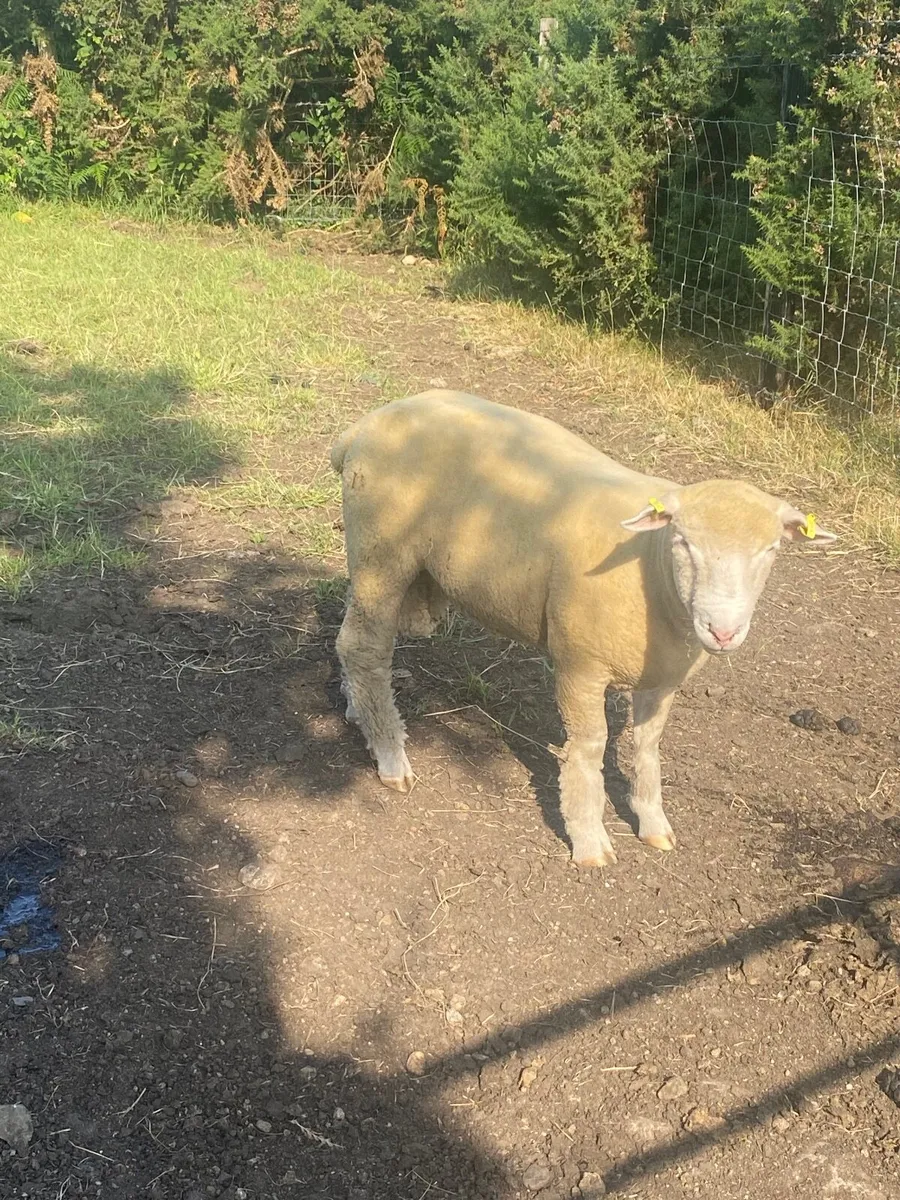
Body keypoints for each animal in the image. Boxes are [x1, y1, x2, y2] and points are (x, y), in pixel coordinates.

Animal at [330, 389, 836, 867]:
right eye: (682, 542)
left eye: (771, 550)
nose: (723, 632)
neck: (652, 569)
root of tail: (363, 426)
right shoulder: (580, 665)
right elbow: (590, 748)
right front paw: (589, 838)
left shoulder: (662, 679)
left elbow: (647, 746)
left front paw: (653, 822)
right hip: (381, 549)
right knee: (363, 647)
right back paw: (391, 754)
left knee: (353, 639)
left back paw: (358, 710)